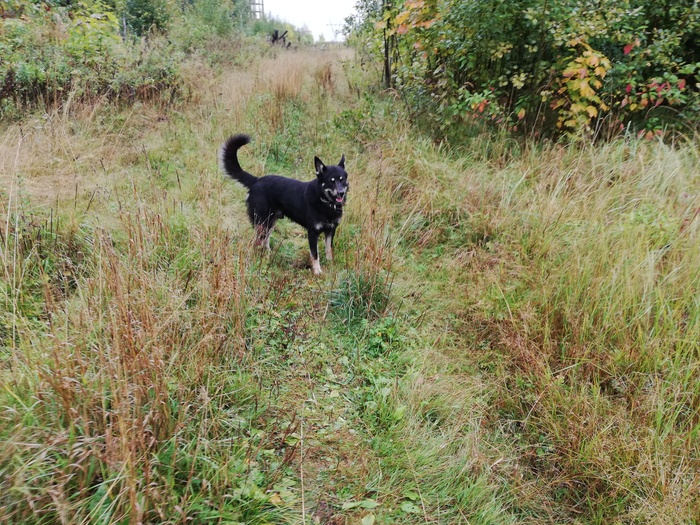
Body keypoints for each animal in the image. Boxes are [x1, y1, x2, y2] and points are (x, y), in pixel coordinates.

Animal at [220, 133, 348, 274]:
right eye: (331, 181)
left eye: (342, 179)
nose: (341, 193)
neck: (325, 202)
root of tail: (256, 180)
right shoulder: (312, 233)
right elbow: (315, 254)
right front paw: (317, 272)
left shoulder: (331, 230)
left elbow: (329, 250)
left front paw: (331, 266)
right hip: (262, 222)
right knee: (258, 242)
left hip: (271, 221)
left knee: (266, 240)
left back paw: (269, 255)